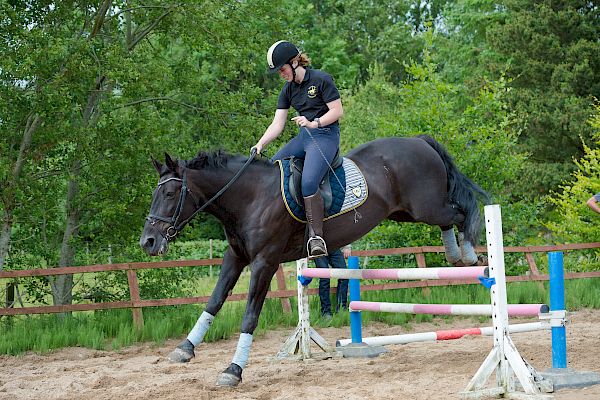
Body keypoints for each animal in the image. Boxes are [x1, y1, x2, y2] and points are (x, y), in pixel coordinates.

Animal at [139, 136, 488, 386]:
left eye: (169, 195)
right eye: (155, 195)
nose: (148, 242)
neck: (250, 196)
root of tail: (419, 140)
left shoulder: (265, 262)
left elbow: (250, 315)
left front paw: (233, 370)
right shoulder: (235, 257)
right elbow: (213, 302)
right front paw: (185, 348)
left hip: (426, 207)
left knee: (460, 211)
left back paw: (469, 254)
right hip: (407, 213)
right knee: (450, 217)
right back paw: (455, 254)